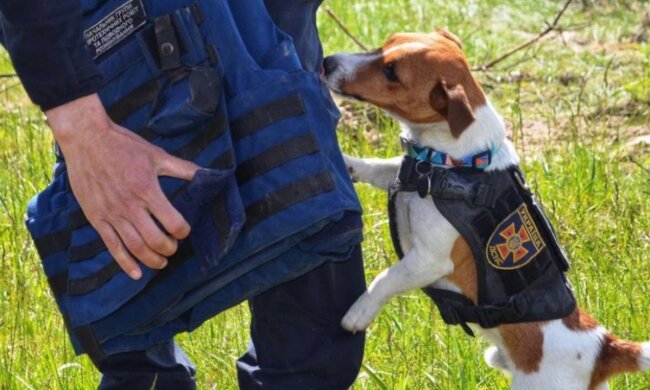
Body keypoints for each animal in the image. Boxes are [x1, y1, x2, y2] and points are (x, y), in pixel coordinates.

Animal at [320, 29, 648, 388]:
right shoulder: (405, 171)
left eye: (391, 71)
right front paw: (347, 164)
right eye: (386, 43)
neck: (450, 164)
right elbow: (380, 167)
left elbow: (386, 278)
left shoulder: (428, 261)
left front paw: (359, 312)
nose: (327, 62)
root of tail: (604, 349)